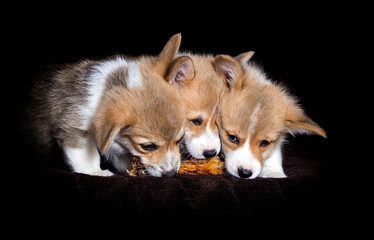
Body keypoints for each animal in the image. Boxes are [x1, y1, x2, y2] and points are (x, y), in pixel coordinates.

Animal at [26, 33, 188, 176]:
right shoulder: (75, 126)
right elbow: (86, 155)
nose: (171, 174)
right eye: (148, 146)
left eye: (180, 139)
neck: (104, 90)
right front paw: (95, 172)